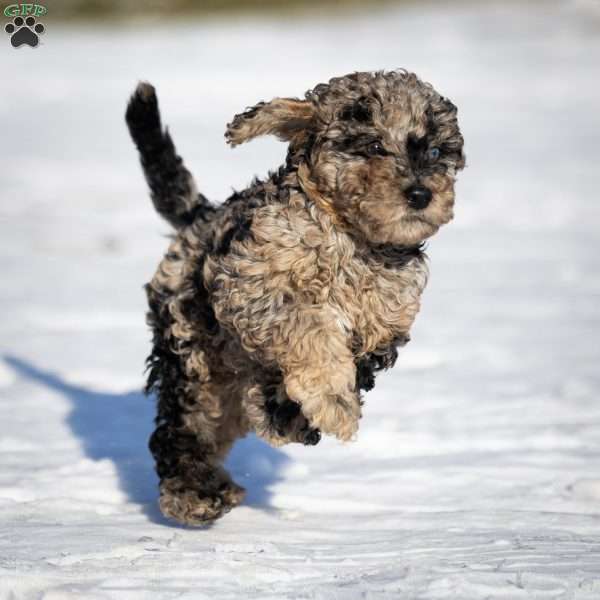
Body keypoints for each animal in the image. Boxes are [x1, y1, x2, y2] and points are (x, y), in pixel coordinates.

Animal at [125, 68, 464, 524]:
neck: (352, 240)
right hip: (192, 348)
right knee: (185, 424)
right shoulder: (250, 287)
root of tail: (200, 217)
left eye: (435, 150)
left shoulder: (388, 318)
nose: (421, 195)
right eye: (375, 146)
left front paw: (290, 413)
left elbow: (354, 358)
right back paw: (194, 493)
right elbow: (309, 327)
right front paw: (331, 401)